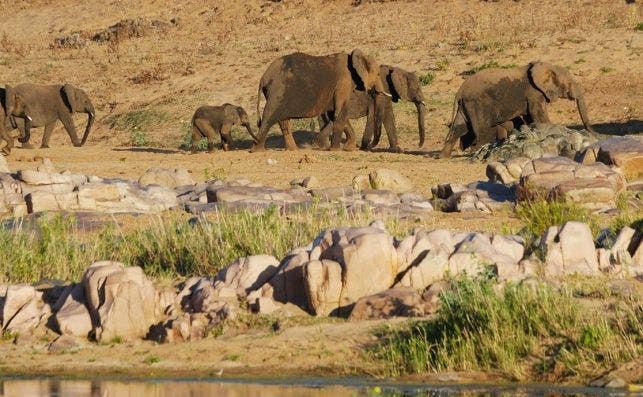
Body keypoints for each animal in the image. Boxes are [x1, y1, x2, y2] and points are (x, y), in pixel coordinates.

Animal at [254, 48, 390, 150]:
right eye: (378, 74)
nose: (367, 146)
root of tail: (263, 79)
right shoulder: (344, 82)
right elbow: (340, 112)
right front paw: (336, 150)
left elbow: (336, 113)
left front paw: (348, 149)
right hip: (277, 92)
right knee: (268, 118)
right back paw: (257, 150)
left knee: (283, 121)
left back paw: (293, 150)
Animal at [440, 61, 596, 157]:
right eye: (569, 83)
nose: (593, 133)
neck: (547, 65)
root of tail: (460, 91)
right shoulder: (533, 92)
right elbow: (538, 115)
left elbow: (530, 117)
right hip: (477, 103)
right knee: (482, 130)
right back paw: (475, 150)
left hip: (465, 105)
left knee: (459, 128)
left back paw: (444, 156)